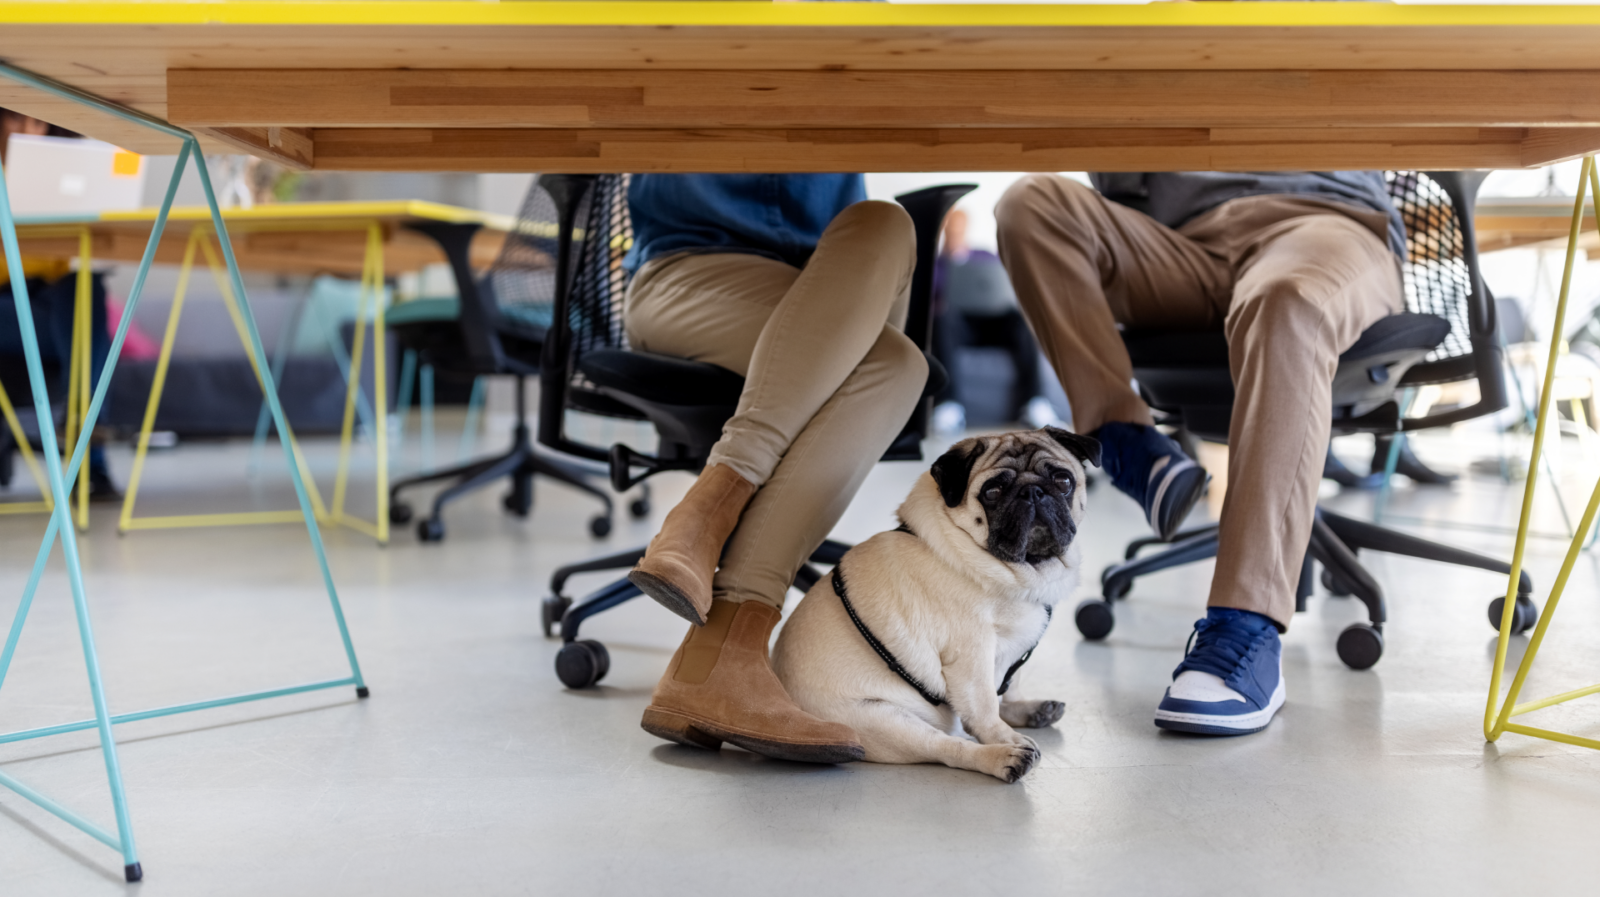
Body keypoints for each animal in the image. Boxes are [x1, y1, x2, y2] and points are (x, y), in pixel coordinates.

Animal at [764, 425, 1094, 777]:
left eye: (1063, 481)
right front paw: (1004, 737)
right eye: (992, 492)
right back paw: (1003, 757)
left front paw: (1017, 706)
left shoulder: (1016, 645)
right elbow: (985, 706)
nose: (1032, 492)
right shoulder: (972, 653)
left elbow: (1010, 683)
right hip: (884, 721)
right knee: (947, 745)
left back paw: (1033, 712)